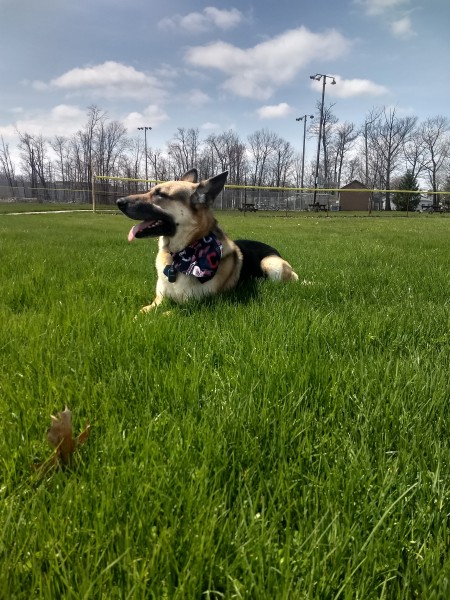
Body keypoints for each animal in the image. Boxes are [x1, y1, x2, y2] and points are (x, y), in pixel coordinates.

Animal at [118, 168, 298, 312]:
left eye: (160, 194)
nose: (119, 202)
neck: (180, 256)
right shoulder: (159, 300)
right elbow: (141, 312)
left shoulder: (195, 305)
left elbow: (169, 313)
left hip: (269, 263)